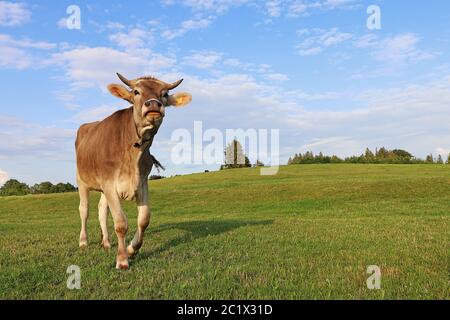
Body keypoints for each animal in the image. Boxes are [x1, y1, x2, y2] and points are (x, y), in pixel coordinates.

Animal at [75, 73, 192, 270]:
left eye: (165, 94)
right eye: (136, 91)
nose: (153, 105)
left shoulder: (142, 181)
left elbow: (144, 219)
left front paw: (132, 249)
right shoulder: (109, 183)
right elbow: (121, 223)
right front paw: (122, 259)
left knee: (101, 210)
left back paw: (106, 242)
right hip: (82, 181)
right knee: (84, 210)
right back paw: (83, 242)